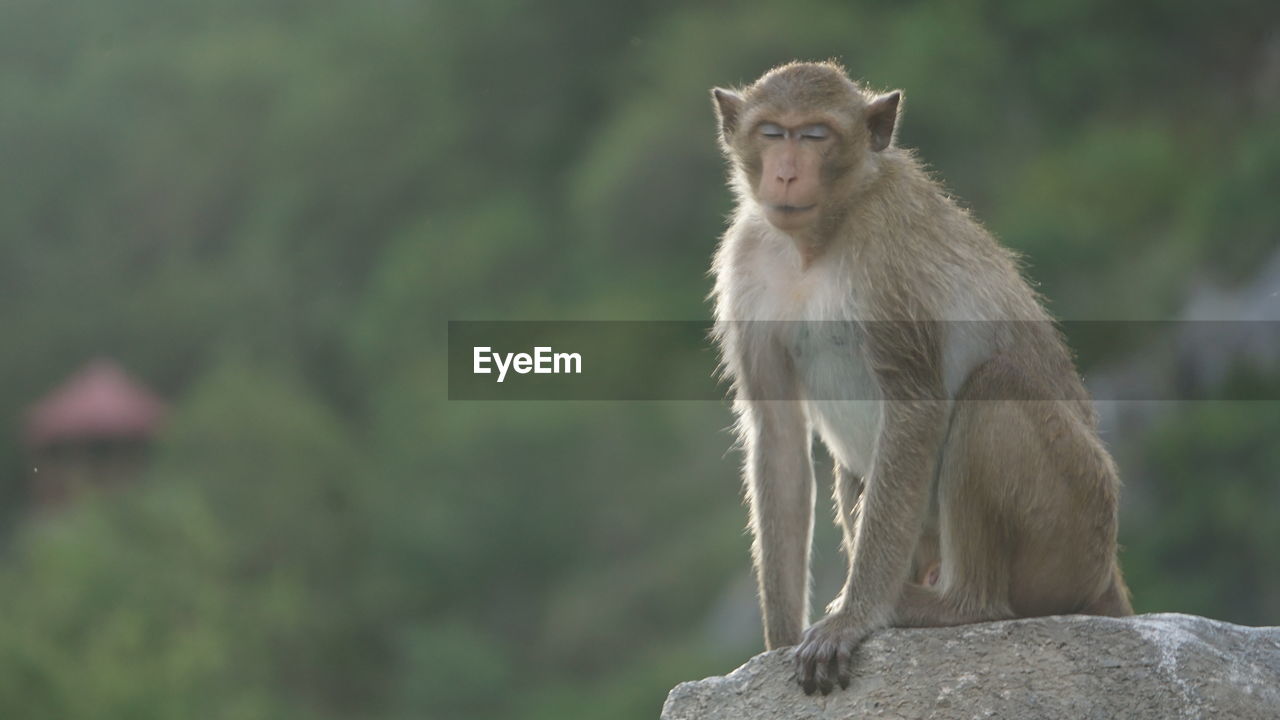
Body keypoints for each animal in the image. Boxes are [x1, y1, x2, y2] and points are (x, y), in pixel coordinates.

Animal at [706, 63, 1136, 696]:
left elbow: (916, 405)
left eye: (815, 135)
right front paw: (778, 641)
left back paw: (958, 605)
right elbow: (778, 431)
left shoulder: (886, 256)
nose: (785, 173)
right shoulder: (747, 261)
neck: (817, 241)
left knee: (993, 389)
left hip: (1077, 525)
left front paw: (854, 620)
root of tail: (1107, 573)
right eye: (772, 133)